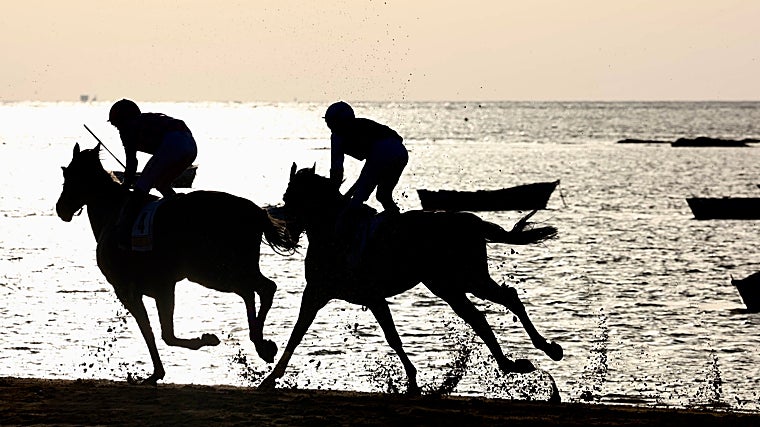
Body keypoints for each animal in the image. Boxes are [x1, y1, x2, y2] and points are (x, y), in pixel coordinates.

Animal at [55, 143, 298, 385]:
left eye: (69, 174)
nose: (61, 208)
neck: (113, 214)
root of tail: (256, 212)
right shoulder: (159, 287)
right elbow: (159, 332)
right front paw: (159, 371)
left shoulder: (131, 289)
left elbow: (157, 333)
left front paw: (200, 343)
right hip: (224, 271)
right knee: (253, 290)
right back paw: (261, 343)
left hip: (212, 271)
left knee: (261, 288)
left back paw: (261, 345)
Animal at [259, 163, 564, 396]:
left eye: (294, 197)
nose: (285, 229)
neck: (335, 233)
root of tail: (473, 221)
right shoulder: (319, 292)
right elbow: (297, 333)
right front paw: (269, 378)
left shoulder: (370, 295)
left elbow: (392, 338)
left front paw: (413, 383)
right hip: (448, 285)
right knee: (480, 316)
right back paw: (515, 363)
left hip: (467, 278)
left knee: (505, 300)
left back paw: (547, 349)